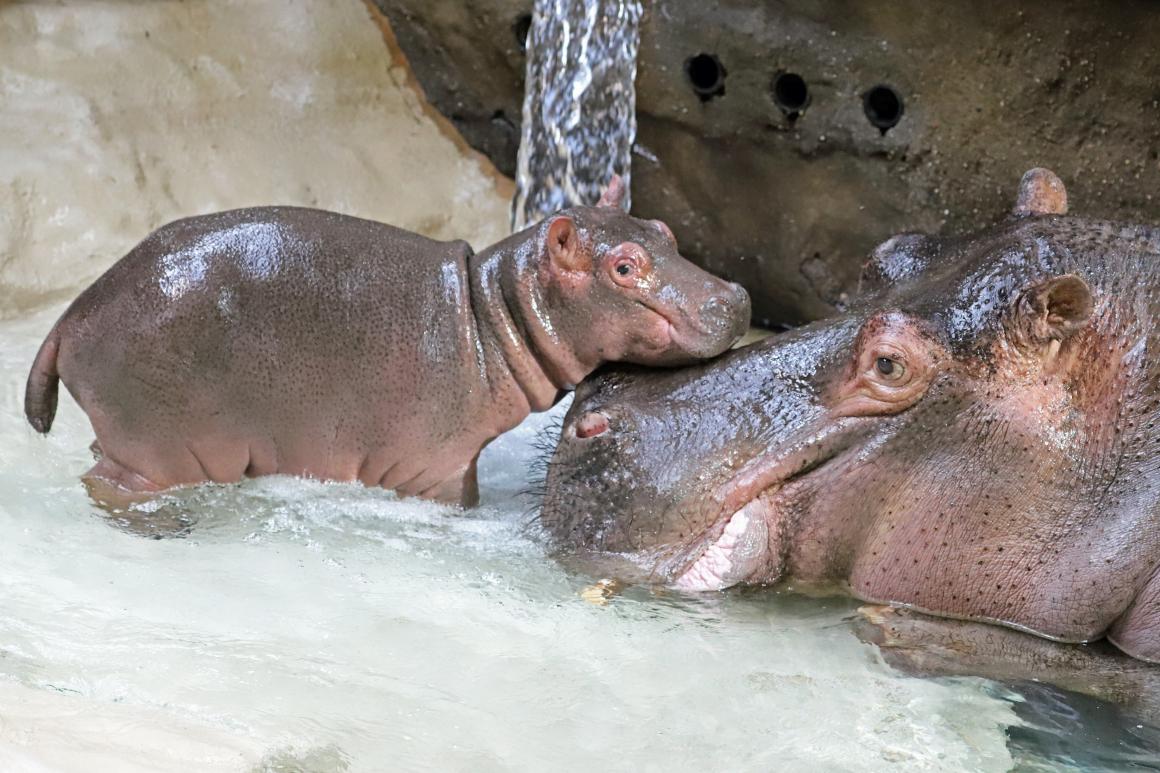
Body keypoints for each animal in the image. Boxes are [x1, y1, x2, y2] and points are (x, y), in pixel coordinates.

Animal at [29, 179, 751, 506]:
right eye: (624, 267)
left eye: (664, 231)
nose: (736, 298)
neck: (491, 309)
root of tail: (70, 316)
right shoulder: (437, 464)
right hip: (156, 448)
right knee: (109, 483)